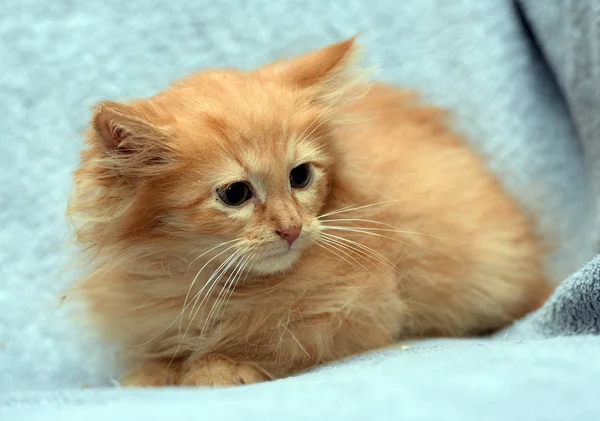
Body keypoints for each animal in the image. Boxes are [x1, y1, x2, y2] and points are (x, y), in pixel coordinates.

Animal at [68, 37, 552, 386]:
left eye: (300, 176)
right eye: (235, 194)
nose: (291, 228)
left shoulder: (355, 313)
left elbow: (269, 341)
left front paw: (215, 366)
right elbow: (163, 351)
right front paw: (151, 373)